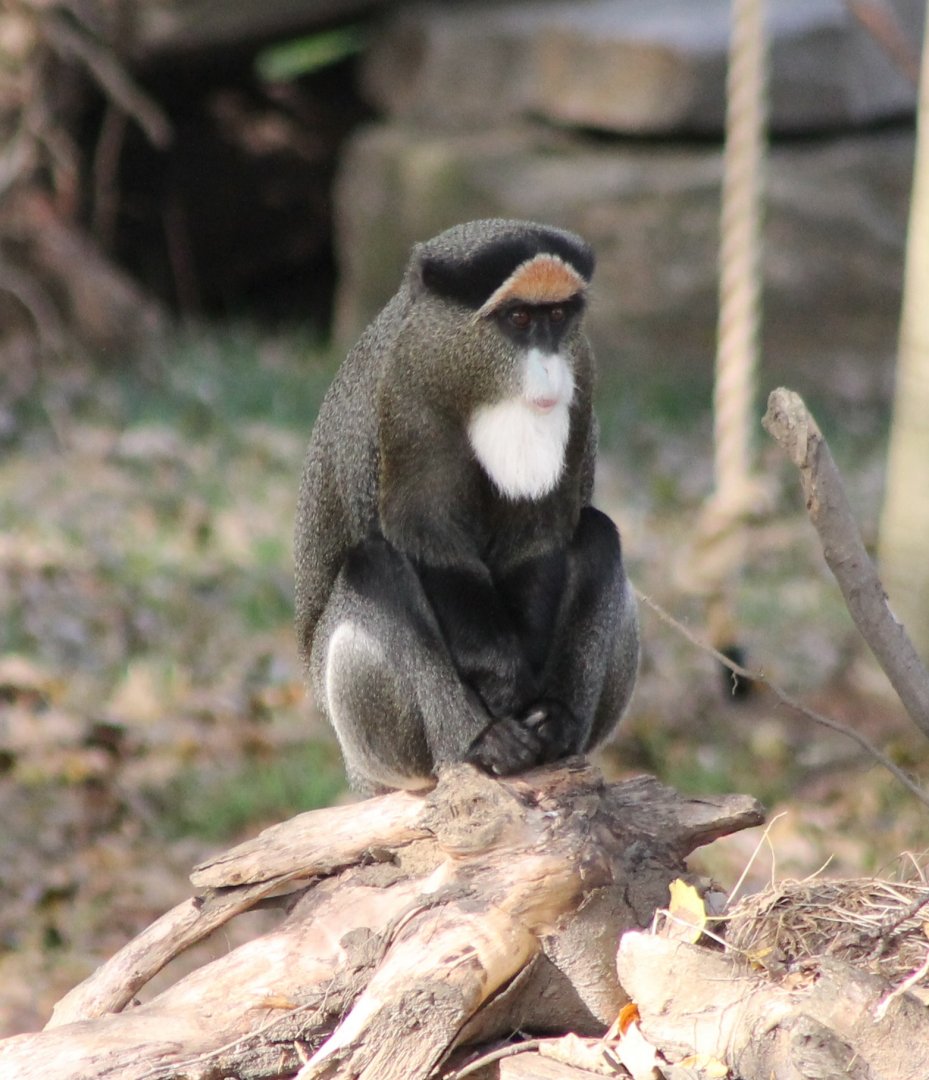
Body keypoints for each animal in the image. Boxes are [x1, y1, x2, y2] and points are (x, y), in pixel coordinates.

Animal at [294, 219, 639, 793]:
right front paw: (505, 688)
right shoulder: (408, 388)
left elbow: (540, 536)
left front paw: (533, 704)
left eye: (558, 316)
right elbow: (429, 539)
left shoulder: (583, 374)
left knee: (597, 536)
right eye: (518, 318)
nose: (550, 370)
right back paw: (484, 743)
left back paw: (557, 726)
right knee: (374, 566)